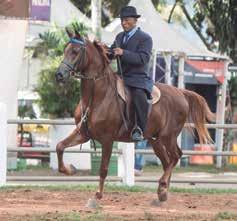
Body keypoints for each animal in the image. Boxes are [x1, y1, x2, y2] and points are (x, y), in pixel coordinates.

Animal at [54, 29, 214, 202]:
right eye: (65, 50)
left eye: (76, 51)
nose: (59, 75)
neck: (96, 97)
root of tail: (181, 92)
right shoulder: (83, 134)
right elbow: (60, 146)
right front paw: (70, 169)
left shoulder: (107, 139)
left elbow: (103, 168)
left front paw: (98, 195)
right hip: (156, 140)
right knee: (167, 161)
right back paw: (162, 192)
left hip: (168, 136)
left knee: (176, 156)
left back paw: (163, 186)